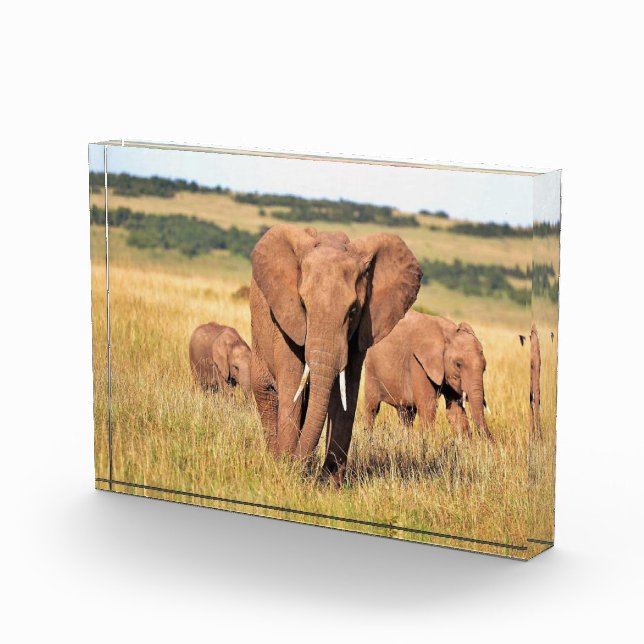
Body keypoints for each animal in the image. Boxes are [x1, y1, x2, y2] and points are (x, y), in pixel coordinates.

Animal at [249, 224, 422, 486]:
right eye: (303, 304)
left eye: (352, 311)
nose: (296, 465)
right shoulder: (285, 318)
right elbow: (291, 382)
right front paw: (286, 468)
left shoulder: (362, 329)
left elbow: (346, 391)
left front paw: (330, 483)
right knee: (267, 391)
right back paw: (275, 457)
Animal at [364, 310, 494, 440]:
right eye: (458, 364)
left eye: (484, 368)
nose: (492, 443)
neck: (447, 334)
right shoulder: (418, 362)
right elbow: (428, 407)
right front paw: (426, 442)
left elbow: (454, 411)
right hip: (371, 369)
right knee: (372, 408)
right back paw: (369, 439)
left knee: (406, 414)